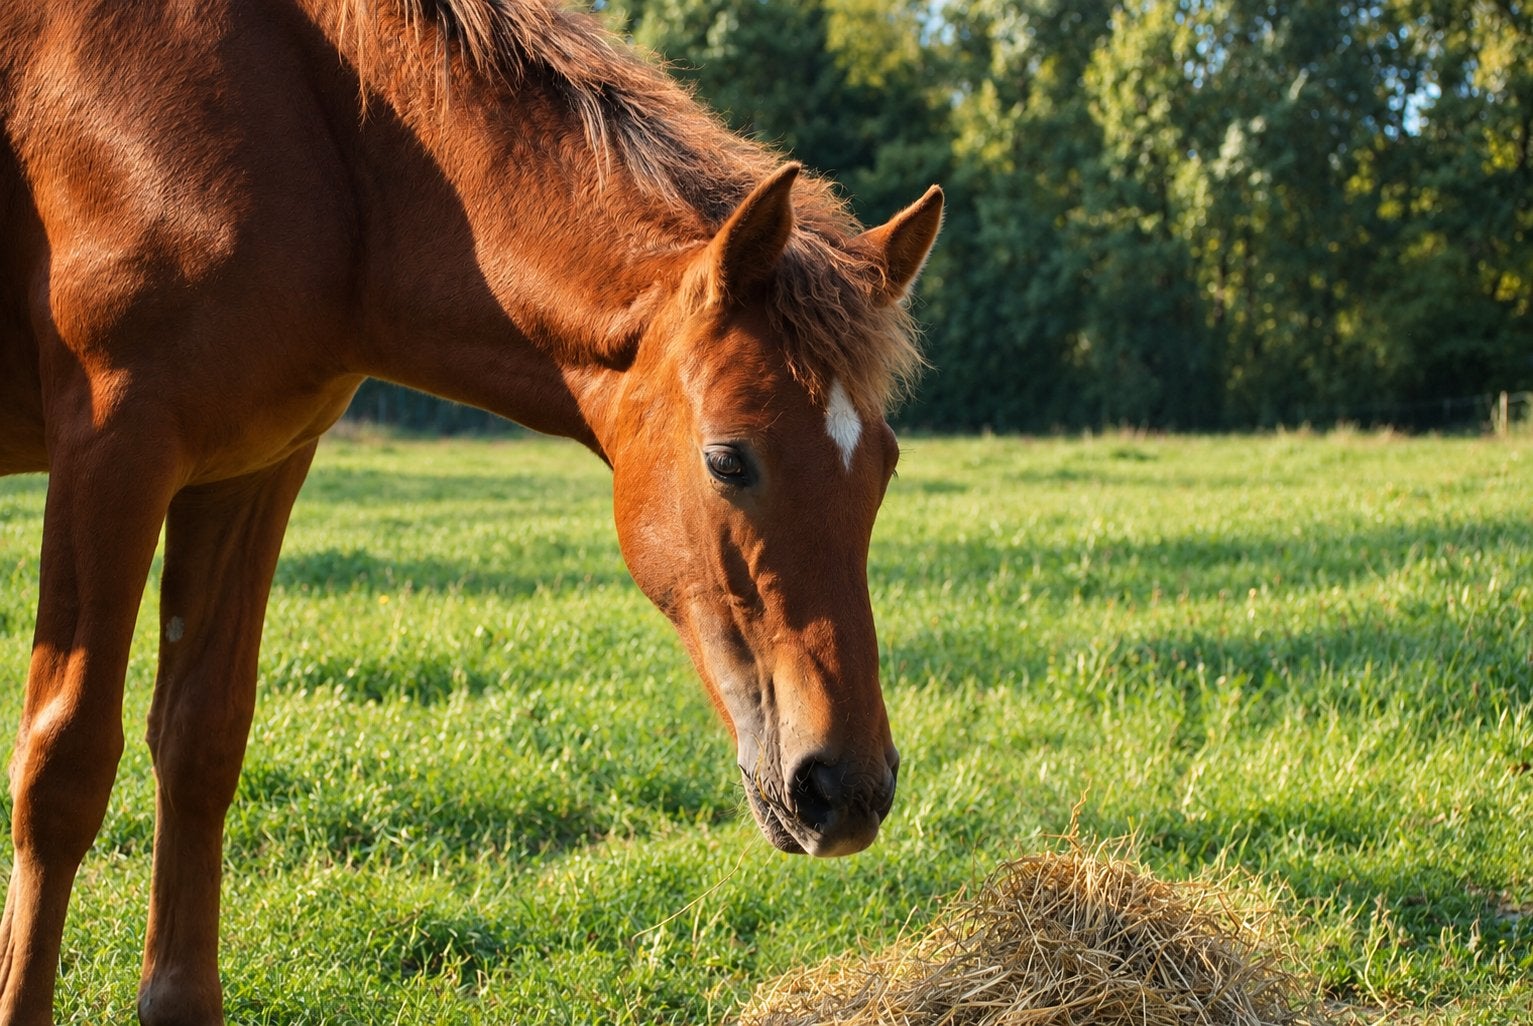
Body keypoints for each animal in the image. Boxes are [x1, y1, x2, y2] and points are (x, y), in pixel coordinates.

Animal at [0, 1, 942, 1021]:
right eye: (728, 460)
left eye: (884, 467)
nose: (845, 789)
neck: (313, 128)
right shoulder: (114, 451)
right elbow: (62, 769)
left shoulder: (250, 471)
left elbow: (198, 746)